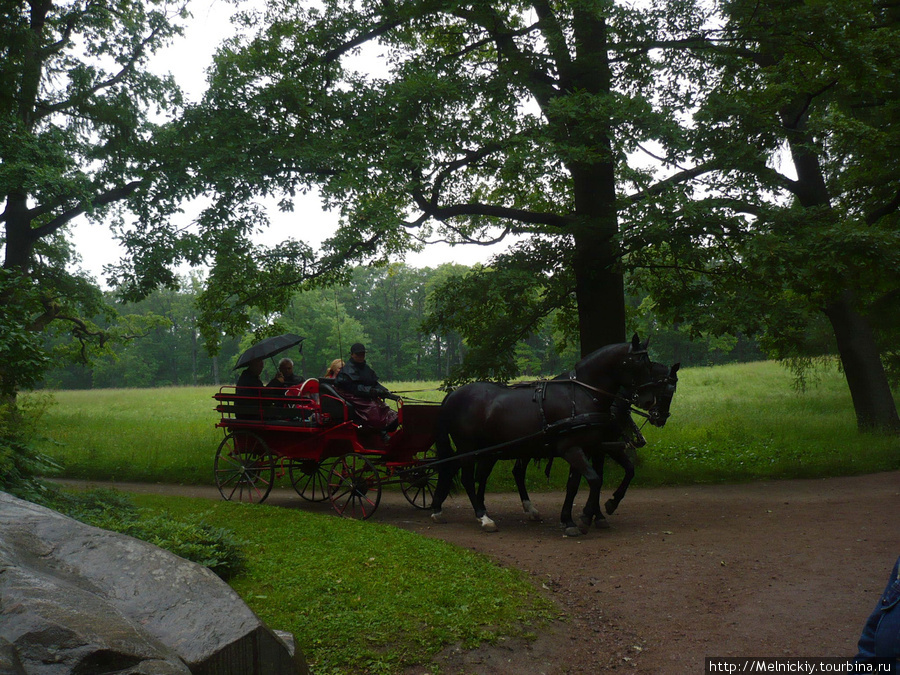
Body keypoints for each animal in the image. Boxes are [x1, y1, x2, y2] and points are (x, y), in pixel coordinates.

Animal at [430, 336, 652, 532]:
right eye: (640, 362)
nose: (648, 400)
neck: (582, 395)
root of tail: (452, 395)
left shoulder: (586, 447)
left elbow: (577, 484)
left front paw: (573, 518)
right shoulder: (572, 448)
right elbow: (594, 480)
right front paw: (587, 515)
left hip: (488, 450)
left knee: (463, 472)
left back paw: (441, 509)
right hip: (468, 448)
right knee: (466, 478)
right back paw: (483, 517)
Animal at [510, 362, 680, 536]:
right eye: (667, 389)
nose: (661, 419)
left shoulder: (603, 448)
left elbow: (627, 471)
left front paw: (603, 510)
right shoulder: (600, 448)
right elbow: (592, 479)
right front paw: (594, 513)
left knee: (517, 472)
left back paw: (530, 509)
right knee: (518, 473)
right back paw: (530, 509)